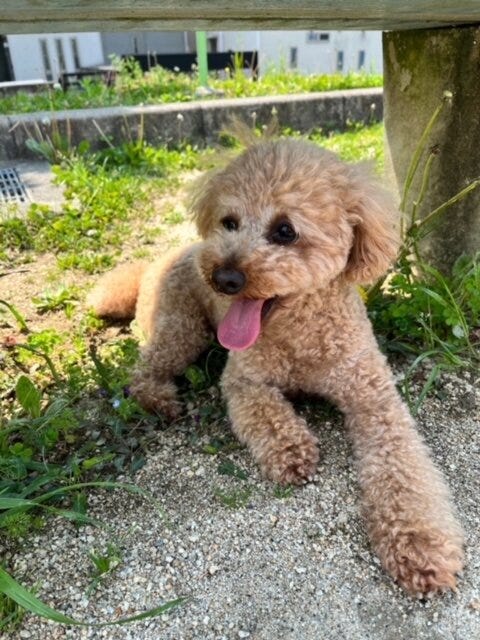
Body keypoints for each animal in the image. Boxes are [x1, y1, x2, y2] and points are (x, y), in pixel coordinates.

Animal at [88, 135, 464, 595]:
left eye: (285, 231)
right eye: (229, 222)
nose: (225, 278)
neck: (300, 333)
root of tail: (161, 261)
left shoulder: (374, 397)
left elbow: (404, 469)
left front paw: (421, 544)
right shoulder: (244, 380)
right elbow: (268, 415)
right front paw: (291, 449)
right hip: (182, 326)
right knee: (143, 372)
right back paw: (160, 400)